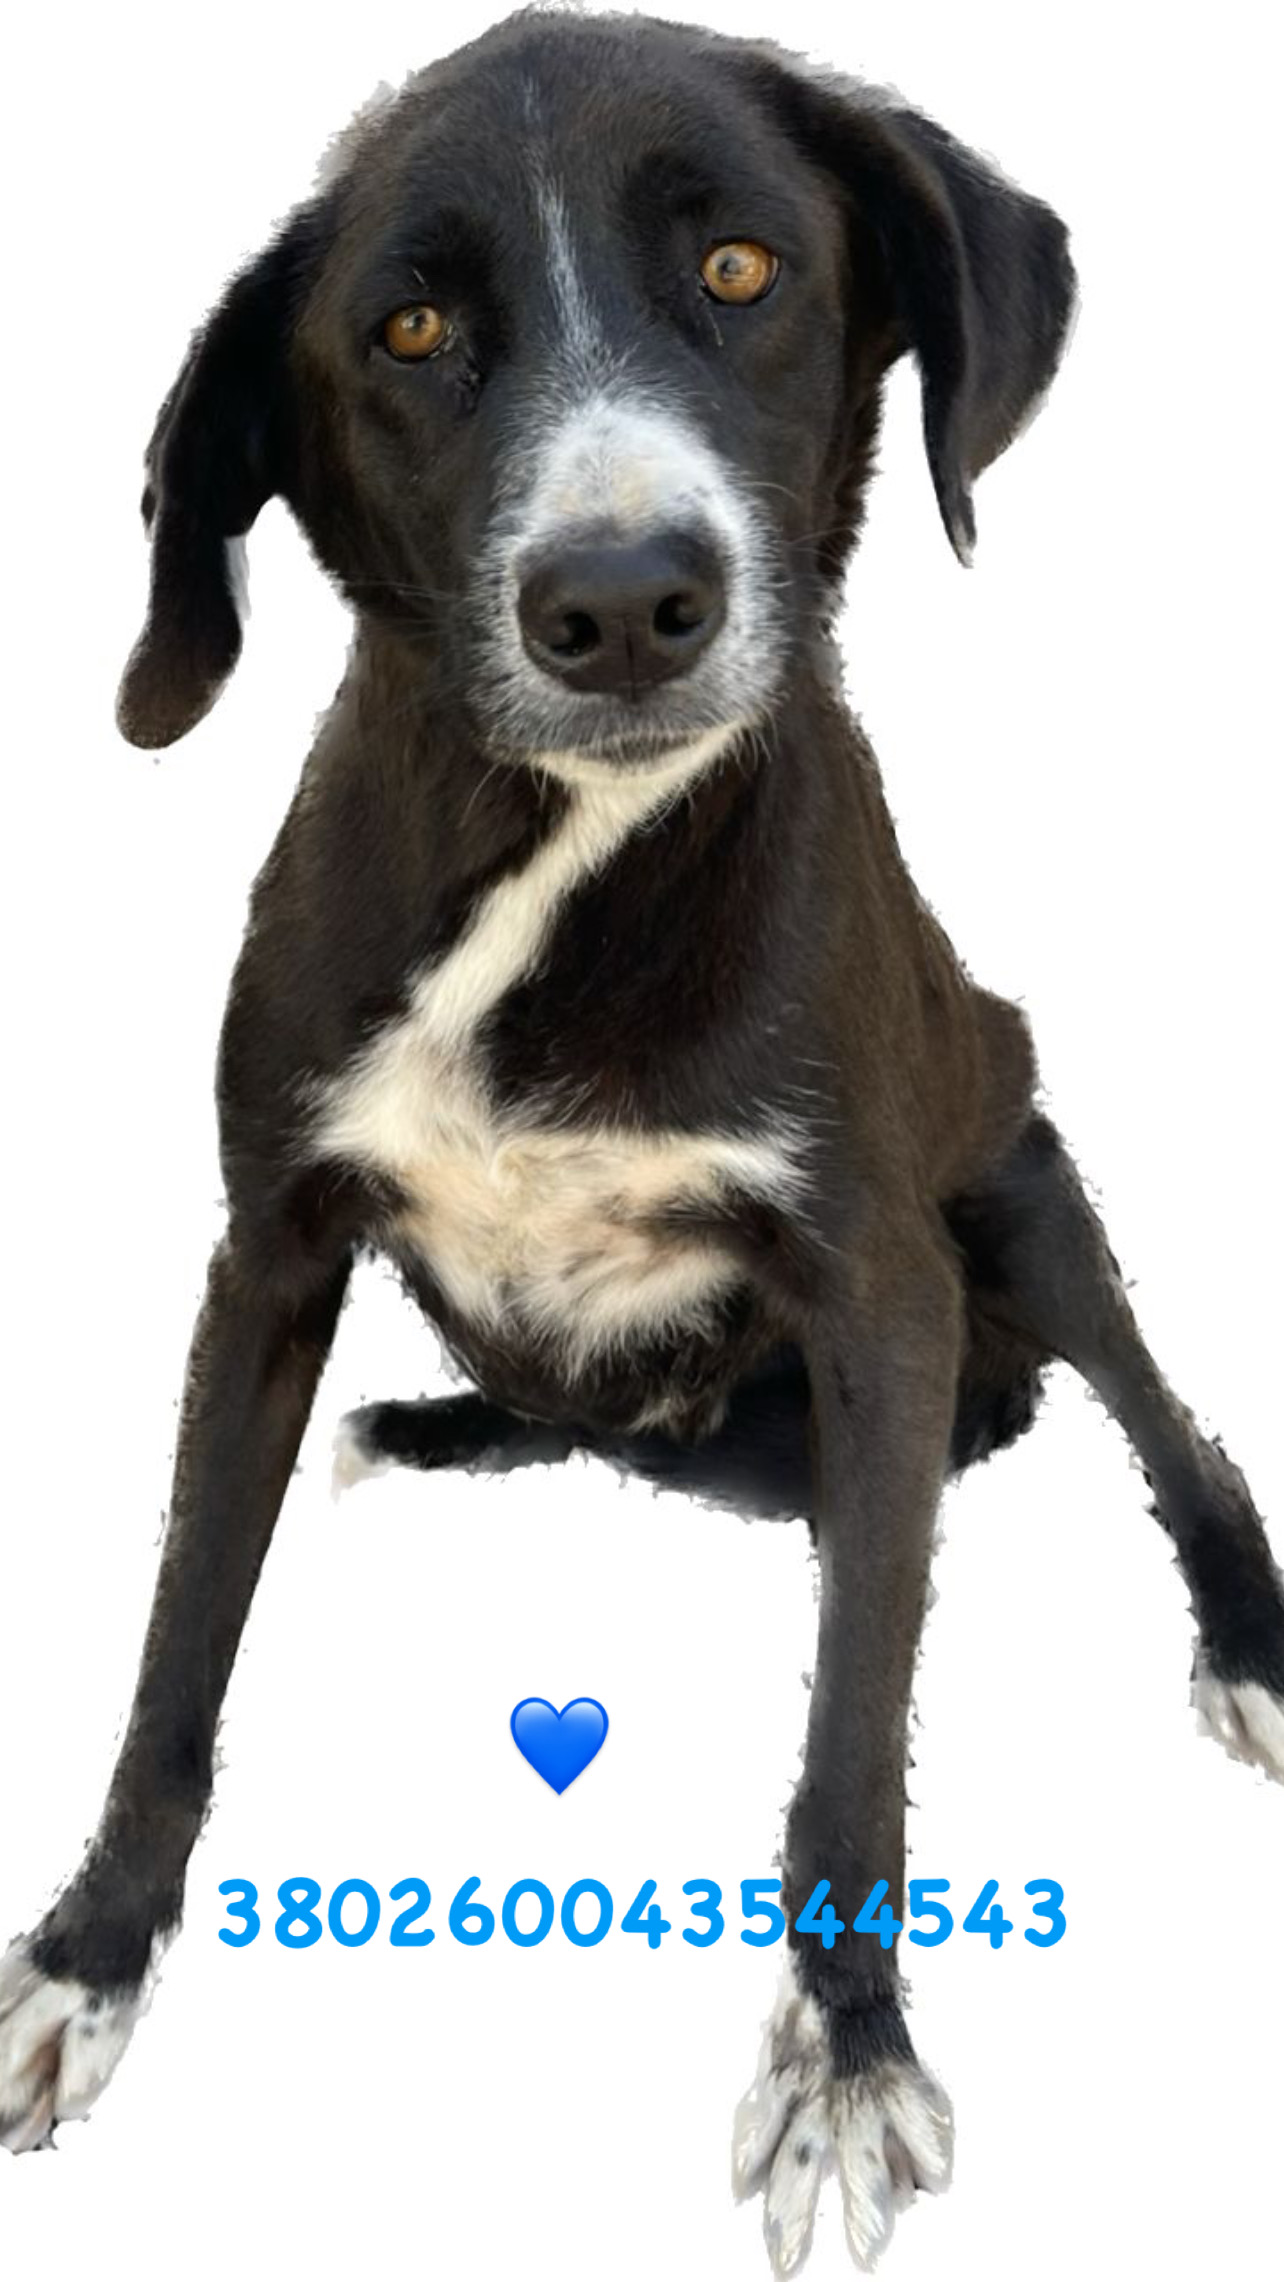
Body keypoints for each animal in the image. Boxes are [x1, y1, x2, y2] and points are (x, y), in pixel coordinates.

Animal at [3, 9, 1282, 2271]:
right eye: (411, 326)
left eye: (744, 270)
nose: (619, 601)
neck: (555, 861)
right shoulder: (266, 1252)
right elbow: (175, 1646)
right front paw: (88, 1960)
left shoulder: (876, 1293)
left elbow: (851, 1735)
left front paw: (844, 2063)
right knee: (577, 1413)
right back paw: (434, 1422)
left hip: (1020, 1190)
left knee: (1169, 1427)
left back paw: (1249, 1635)